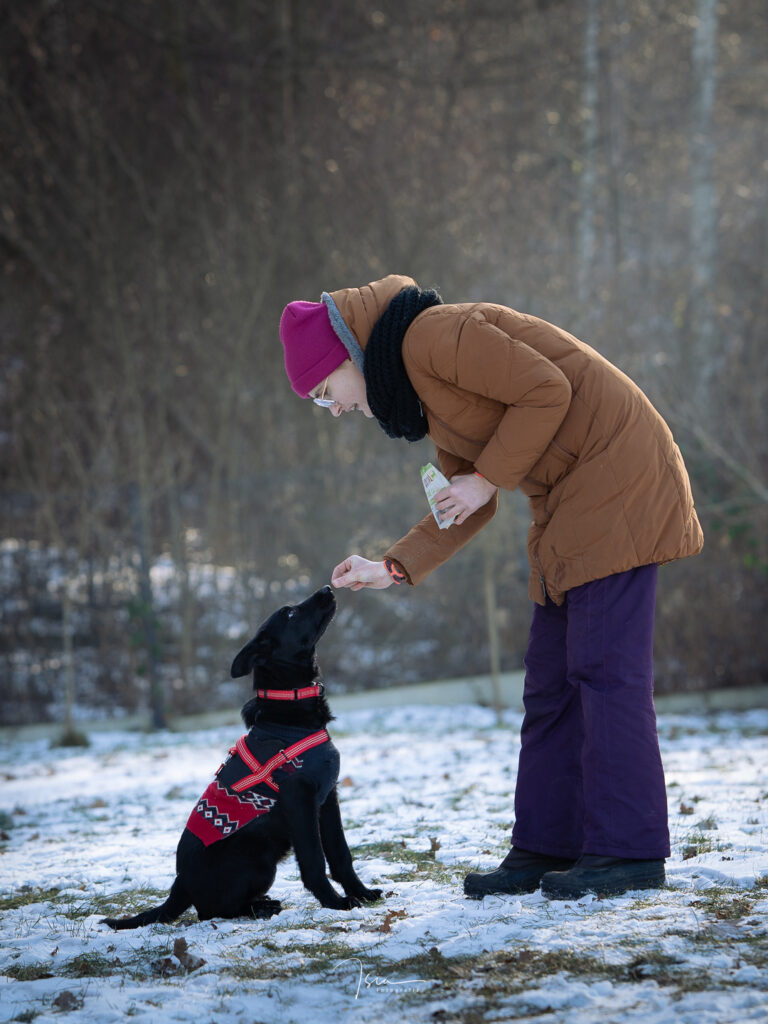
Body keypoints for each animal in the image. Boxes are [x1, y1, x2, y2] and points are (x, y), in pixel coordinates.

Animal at [102, 586, 382, 928]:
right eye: (290, 613)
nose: (327, 588)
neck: (289, 710)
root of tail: (179, 885)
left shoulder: (328, 799)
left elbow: (341, 854)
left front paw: (362, 893)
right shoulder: (300, 802)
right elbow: (314, 861)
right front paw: (336, 904)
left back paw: (263, 902)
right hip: (258, 859)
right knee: (212, 911)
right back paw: (261, 908)